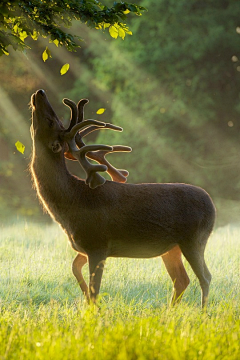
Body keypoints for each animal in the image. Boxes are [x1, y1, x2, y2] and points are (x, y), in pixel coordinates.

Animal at [30, 88, 216, 308]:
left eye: (51, 121)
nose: (40, 92)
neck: (71, 203)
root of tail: (212, 206)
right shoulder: (85, 246)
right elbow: (75, 269)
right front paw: (86, 300)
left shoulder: (98, 243)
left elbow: (95, 289)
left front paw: (93, 309)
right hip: (172, 248)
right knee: (181, 279)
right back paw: (170, 312)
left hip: (194, 239)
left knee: (205, 277)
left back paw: (202, 312)